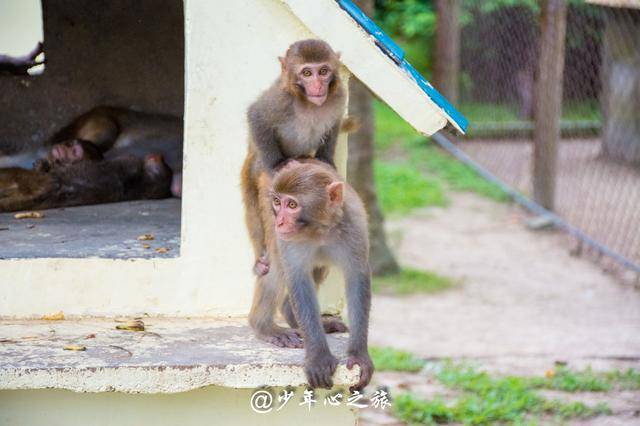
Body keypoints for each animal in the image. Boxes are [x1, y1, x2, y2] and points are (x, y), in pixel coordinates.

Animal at [241, 39, 350, 276]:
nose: (317, 86)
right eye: (307, 73)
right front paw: (278, 164)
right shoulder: (280, 100)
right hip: (255, 167)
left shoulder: (339, 96)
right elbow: (256, 115)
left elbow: (335, 123)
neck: (308, 103)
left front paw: (326, 160)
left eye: (324, 71)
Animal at [248, 159, 372, 390]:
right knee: (277, 267)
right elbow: (298, 281)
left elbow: (357, 279)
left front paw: (359, 355)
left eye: (292, 205)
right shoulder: (287, 239)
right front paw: (318, 358)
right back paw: (265, 326)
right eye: (278, 202)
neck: (319, 230)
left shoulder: (355, 228)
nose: (280, 221)